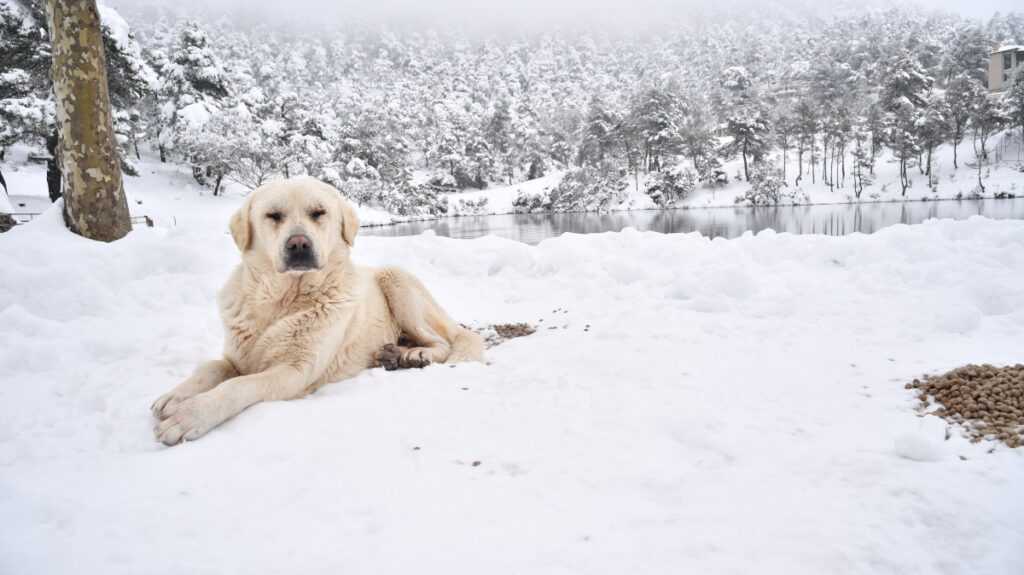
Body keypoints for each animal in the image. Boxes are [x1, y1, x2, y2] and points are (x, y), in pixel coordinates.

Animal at [150, 178, 483, 444]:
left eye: (318, 213)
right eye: (274, 216)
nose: (299, 244)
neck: (281, 302)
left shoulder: (294, 372)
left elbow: (238, 384)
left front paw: (192, 414)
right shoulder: (235, 357)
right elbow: (210, 368)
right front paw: (177, 395)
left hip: (395, 278)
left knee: (444, 341)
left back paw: (417, 354)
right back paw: (390, 354)